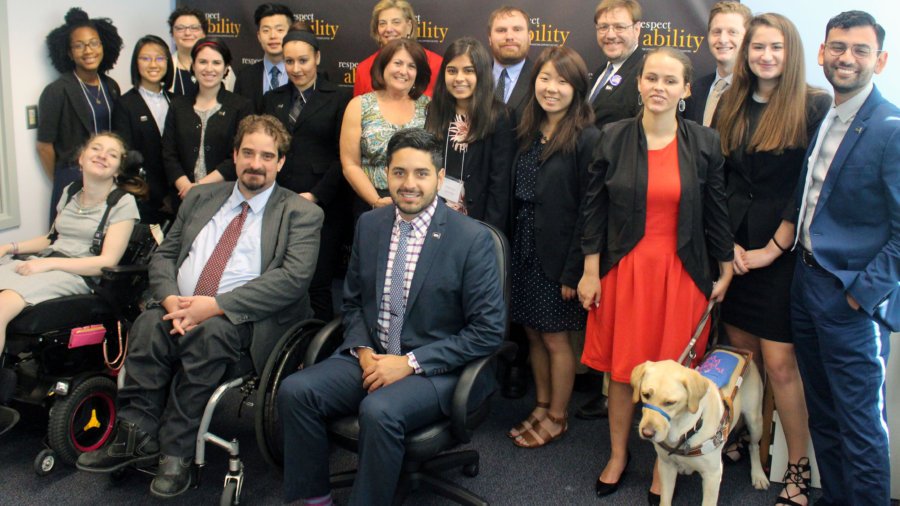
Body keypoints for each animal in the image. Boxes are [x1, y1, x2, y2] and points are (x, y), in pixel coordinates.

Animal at [632, 358, 768, 504]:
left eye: (670, 402)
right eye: (645, 394)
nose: (647, 433)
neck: (683, 431)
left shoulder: (713, 475)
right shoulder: (666, 466)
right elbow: (665, 500)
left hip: (755, 421)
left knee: (754, 446)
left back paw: (758, 475)